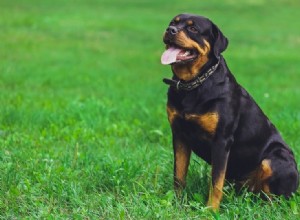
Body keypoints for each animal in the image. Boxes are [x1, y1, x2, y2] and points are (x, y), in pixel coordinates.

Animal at [161, 14, 298, 211]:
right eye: (173, 22)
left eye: (193, 28)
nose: (170, 30)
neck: (193, 84)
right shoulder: (179, 135)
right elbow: (178, 175)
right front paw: (176, 204)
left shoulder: (221, 140)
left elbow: (216, 181)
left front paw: (211, 210)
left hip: (275, 159)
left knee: (279, 199)